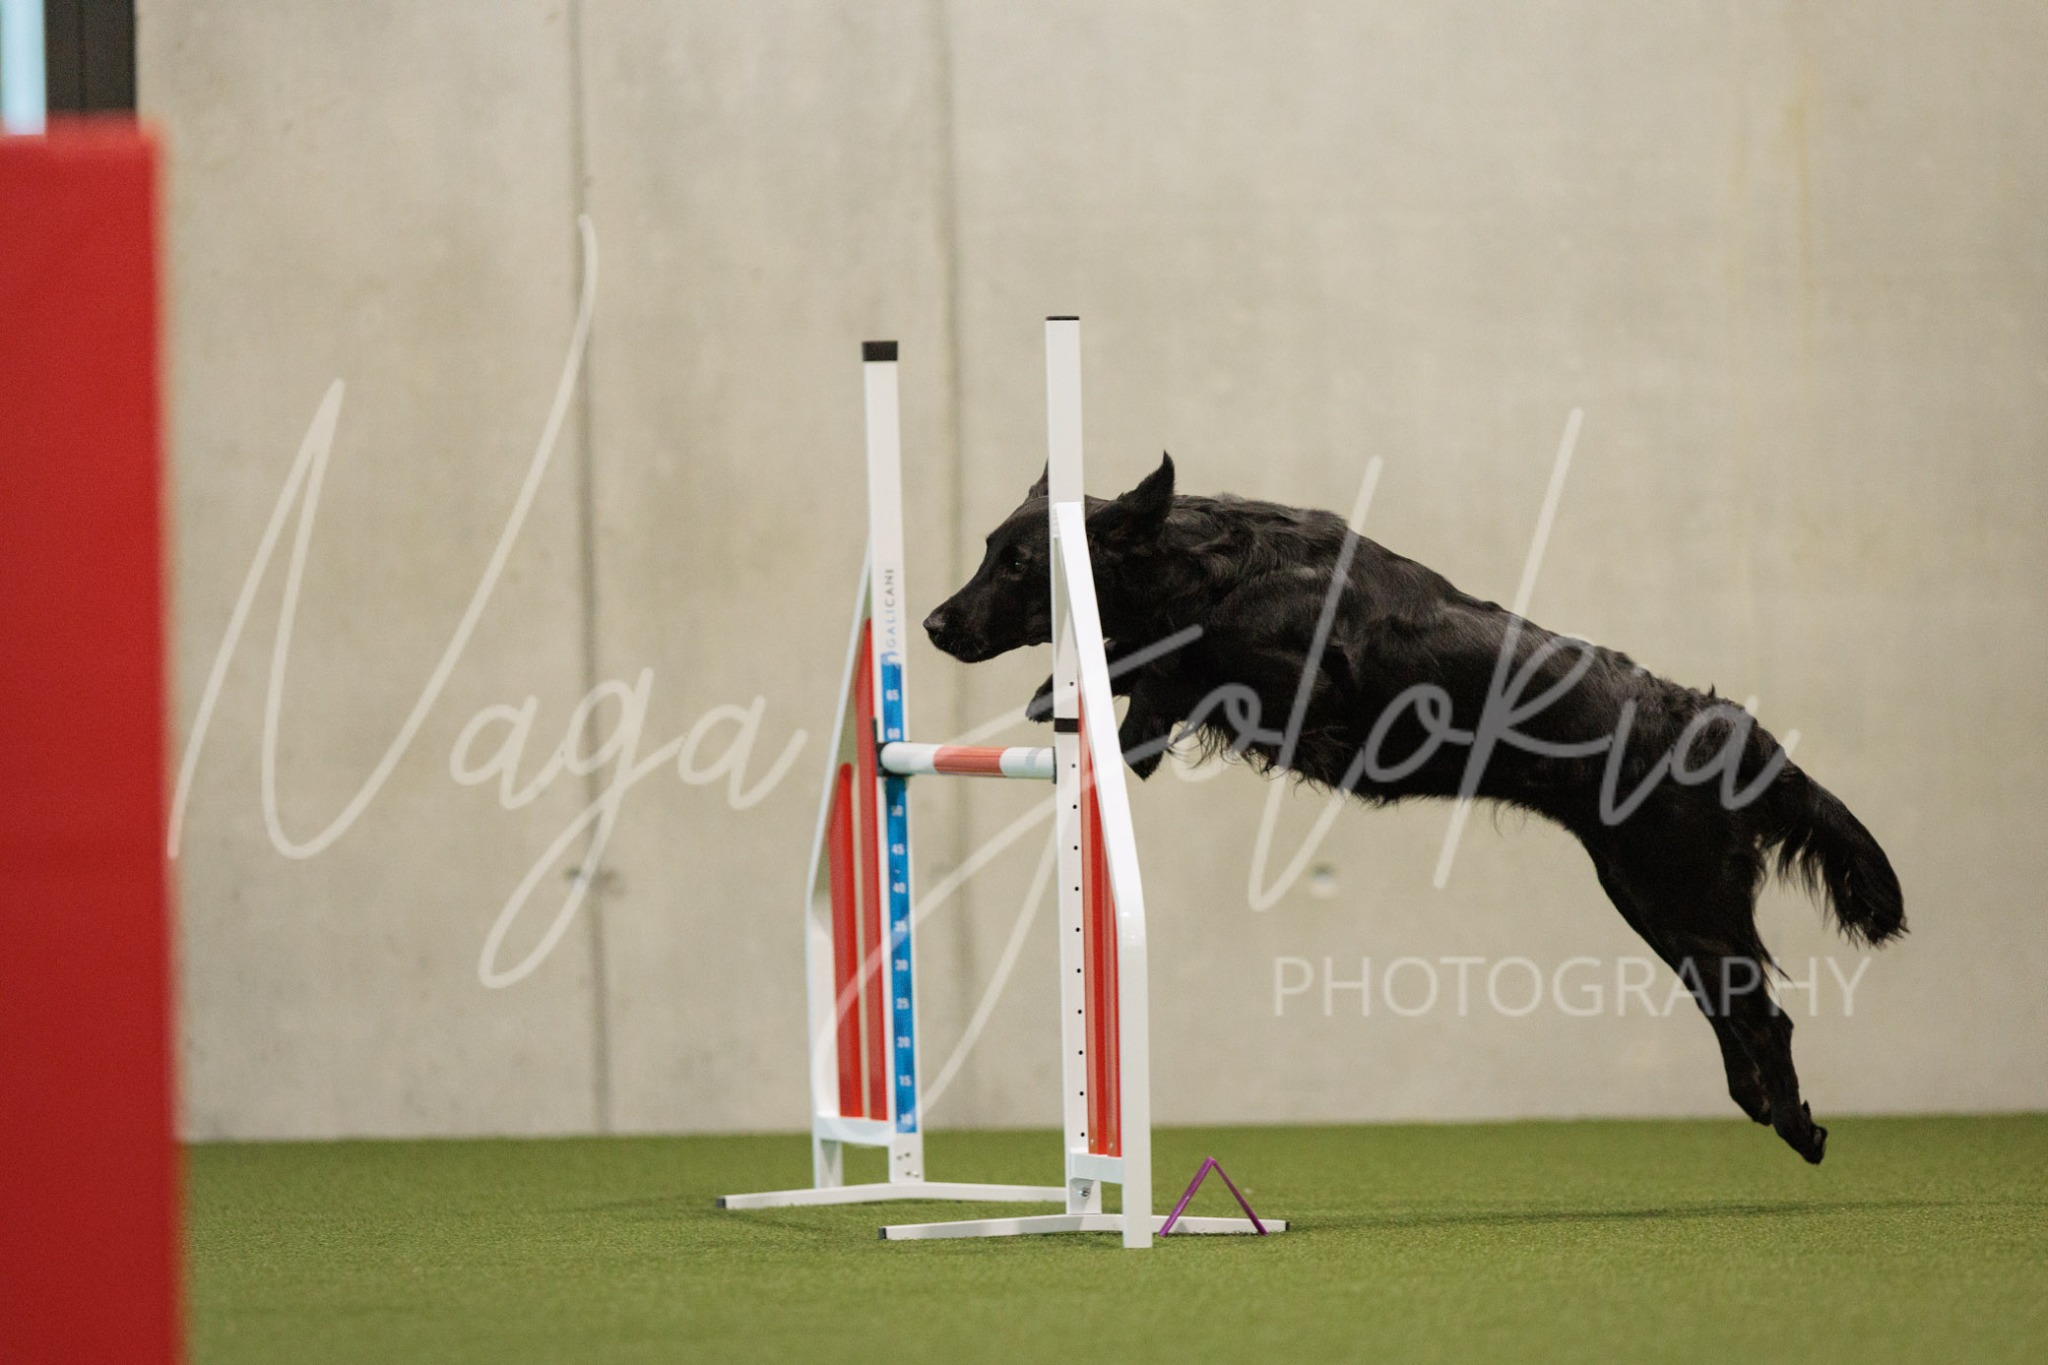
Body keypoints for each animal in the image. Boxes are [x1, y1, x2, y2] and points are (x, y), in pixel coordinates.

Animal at [923, 455, 1904, 1164]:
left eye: (1018, 562)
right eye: (988, 549)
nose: (933, 624)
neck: (1213, 567)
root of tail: (1725, 726)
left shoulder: (1297, 683)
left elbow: (1171, 654)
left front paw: (1087, 692)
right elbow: (1145, 674)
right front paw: (1071, 698)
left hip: (1679, 891)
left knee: (1761, 1012)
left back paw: (1800, 1125)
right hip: (1650, 897)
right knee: (1735, 1009)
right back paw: (1768, 1106)